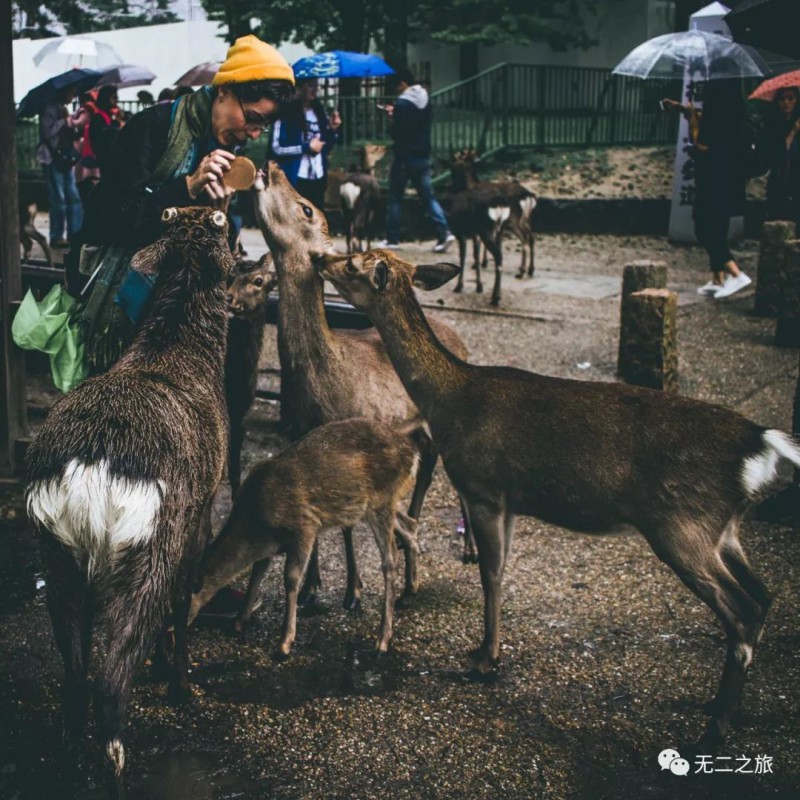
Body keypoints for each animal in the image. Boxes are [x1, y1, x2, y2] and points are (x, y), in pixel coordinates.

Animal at [26, 208, 233, 800]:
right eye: (228, 225)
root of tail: (88, 470)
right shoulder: (202, 510)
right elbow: (185, 599)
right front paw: (180, 682)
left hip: (56, 552)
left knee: (75, 675)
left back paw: (68, 764)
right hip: (145, 550)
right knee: (110, 682)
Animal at [191, 418, 422, 656]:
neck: (256, 521)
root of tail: (413, 454)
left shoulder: (305, 526)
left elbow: (291, 578)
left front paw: (285, 642)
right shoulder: (269, 545)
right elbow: (257, 572)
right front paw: (238, 622)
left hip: (381, 500)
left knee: (390, 558)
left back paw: (383, 640)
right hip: (381, 504)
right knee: (410, 525)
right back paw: (411, 589)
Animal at [253, 162, 468, 608]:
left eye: (306, 207)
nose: (274, 166)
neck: (323, 390)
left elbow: (349, 522)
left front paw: (352, 590)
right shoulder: (299, 435)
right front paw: (313, 589)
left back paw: (463, 551)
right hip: (413, 429)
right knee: (426, 466)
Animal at [318, 248, 800, 752]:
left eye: (353, 263)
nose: (320, 260)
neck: (448, 398)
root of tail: (760, 445)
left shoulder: (483, 487)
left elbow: (490, 573)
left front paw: (485, 660)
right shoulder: (508, 499)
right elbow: (501, 571)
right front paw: (484, 650)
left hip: (682, 526)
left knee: (743, 610)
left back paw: (714, 728)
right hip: (723, 528)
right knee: (764, 596)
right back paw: (719, 708)